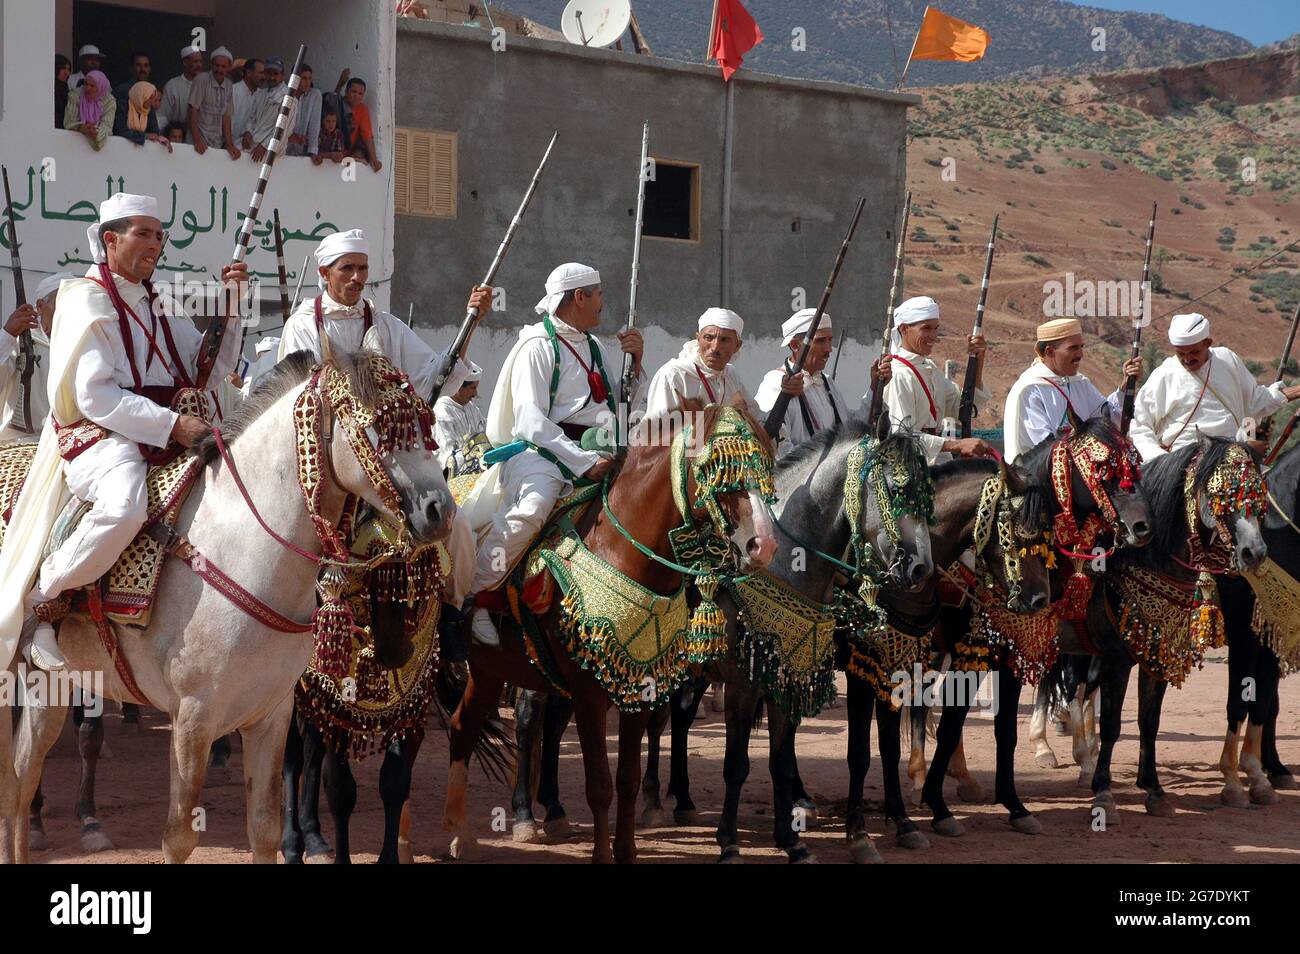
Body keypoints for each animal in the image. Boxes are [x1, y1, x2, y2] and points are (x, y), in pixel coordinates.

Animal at [0, 353, 454, 868]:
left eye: (423, 423)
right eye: (377, 425)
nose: (439, 511)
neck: (241, 548)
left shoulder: (270, 716)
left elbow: (265, 828)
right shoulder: (192, 720)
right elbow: (179, 836)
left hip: (50, 685)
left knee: (21, 780)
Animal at [441, 395, 774, 868]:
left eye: (764, 463)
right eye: (717, 467)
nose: (764, 544)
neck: (620, 552)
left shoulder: (639, 689)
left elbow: (628, 780)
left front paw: (628, 850)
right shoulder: (588, 695)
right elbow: (599, 785)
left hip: (489, 670)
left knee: (462, 728)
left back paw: (460, 835)